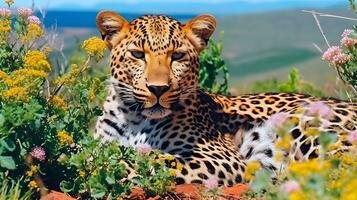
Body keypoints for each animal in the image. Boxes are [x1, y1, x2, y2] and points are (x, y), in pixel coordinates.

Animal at [94, 10, 356, 186]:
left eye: (177, 56)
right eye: (138, 55)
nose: (158, 89)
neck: (133, 118)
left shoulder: (220, 157)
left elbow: (152, 162)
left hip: (301, 122)